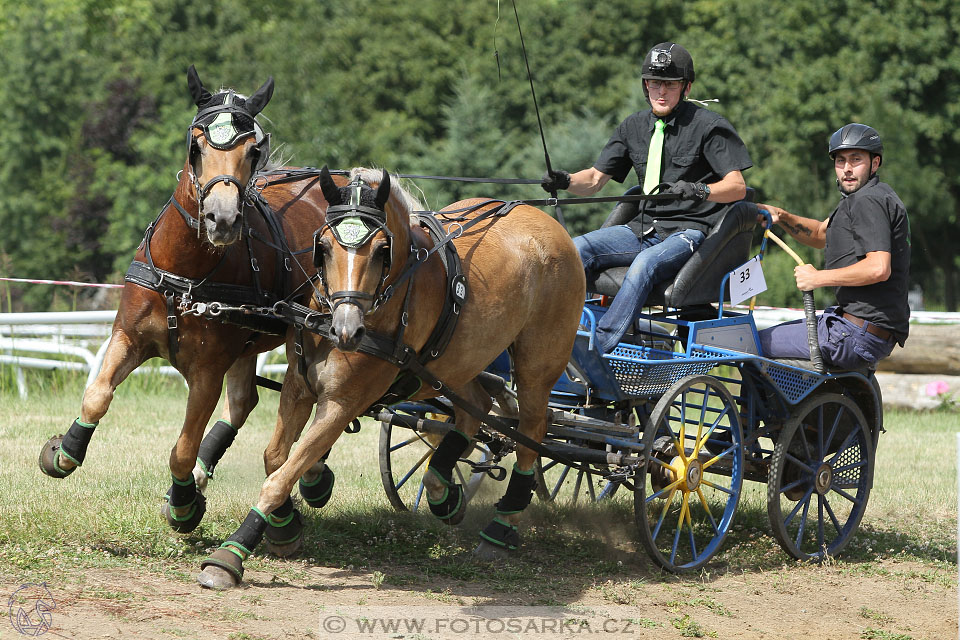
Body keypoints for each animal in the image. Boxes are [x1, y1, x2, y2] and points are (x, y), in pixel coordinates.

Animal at [38, 66, 344, 536]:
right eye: (196, 146)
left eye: (253, 151)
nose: (222, 219)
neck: (184, 275)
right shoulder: (128, 337)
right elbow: (97, 395)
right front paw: (65, 452)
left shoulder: (206, 373)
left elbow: (182, 448)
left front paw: (184, 504)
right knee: (245, 403)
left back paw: (309, 477)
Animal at [196, 166, 584, 592]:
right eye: (324, 247)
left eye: (384, 250)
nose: (347, 330)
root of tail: (547, 223)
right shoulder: (298, 388)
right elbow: (276, 459)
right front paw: (286, 522)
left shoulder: (341, 403)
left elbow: (281, 476)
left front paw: (231, 554)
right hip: (453, 362)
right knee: (477, 407)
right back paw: (442, 493)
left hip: (537, 365)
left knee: (531, 434)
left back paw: (501, 529)